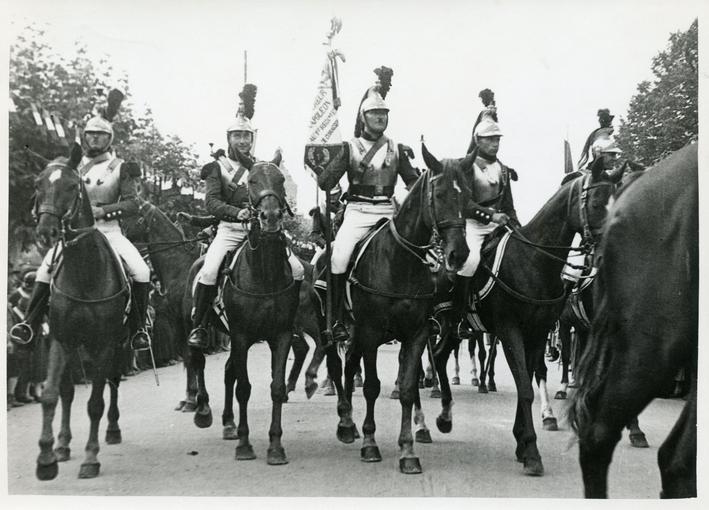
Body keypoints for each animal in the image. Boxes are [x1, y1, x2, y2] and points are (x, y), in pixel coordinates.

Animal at [31, 142, 130, 478]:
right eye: (38, 184)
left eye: (72, 186)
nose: (47, 232)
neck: (84, 272)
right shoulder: (61, 339)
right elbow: (51, 394)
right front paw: (46, 457)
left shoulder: (104, 343)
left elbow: (95, 403)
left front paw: (90, 458)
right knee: (67, 392)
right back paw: (62, 446)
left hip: (118, 344)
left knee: (112, 382)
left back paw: (112, 430)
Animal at [184, 152, 300, 466]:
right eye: (252, 181)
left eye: (281, 180)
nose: (270, 218)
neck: (264, 275)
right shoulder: (240, 335)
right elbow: (244, 388)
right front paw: (245, 446)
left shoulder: (280, 335)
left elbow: (276, 387)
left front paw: (275, 447)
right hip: (198, 326)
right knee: (197, 359)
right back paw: (202, 411)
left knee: (228, 371)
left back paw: (228, 423)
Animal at [426, 154, 620, 474]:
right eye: (595, 204)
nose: (608, 254)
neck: (533, 261)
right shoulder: (510, 330)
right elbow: (525, 389)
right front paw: (531, 451)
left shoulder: (538, 333)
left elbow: (527, 381)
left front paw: (522, 442)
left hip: (456, 329)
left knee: (440, 356)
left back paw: (444, 416)